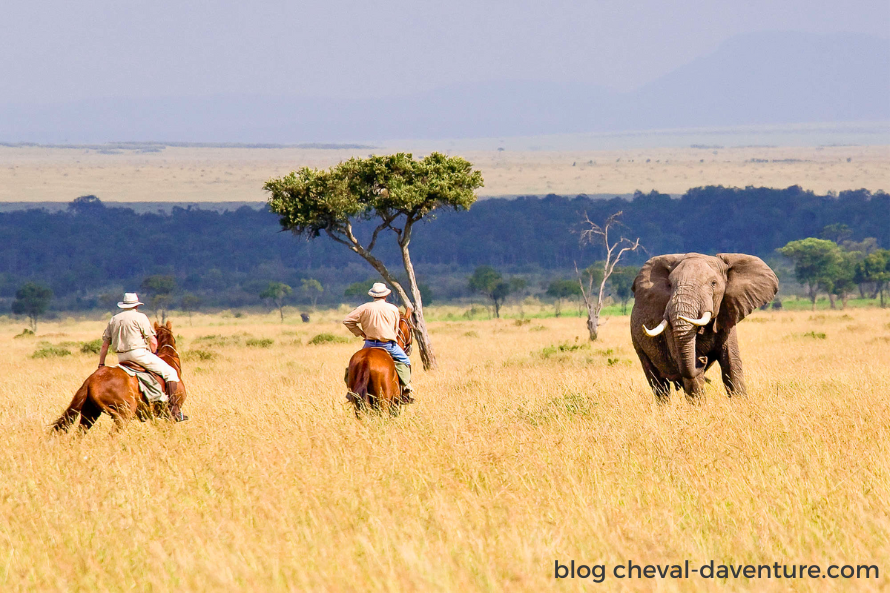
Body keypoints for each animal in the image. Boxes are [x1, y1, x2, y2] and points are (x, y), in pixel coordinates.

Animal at [628, 252, 772, 400]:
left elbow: (732, 363)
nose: (703, 359)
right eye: (670, 285)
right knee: (659, 385)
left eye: (713, 283)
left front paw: (740, 402)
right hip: (638, 343)